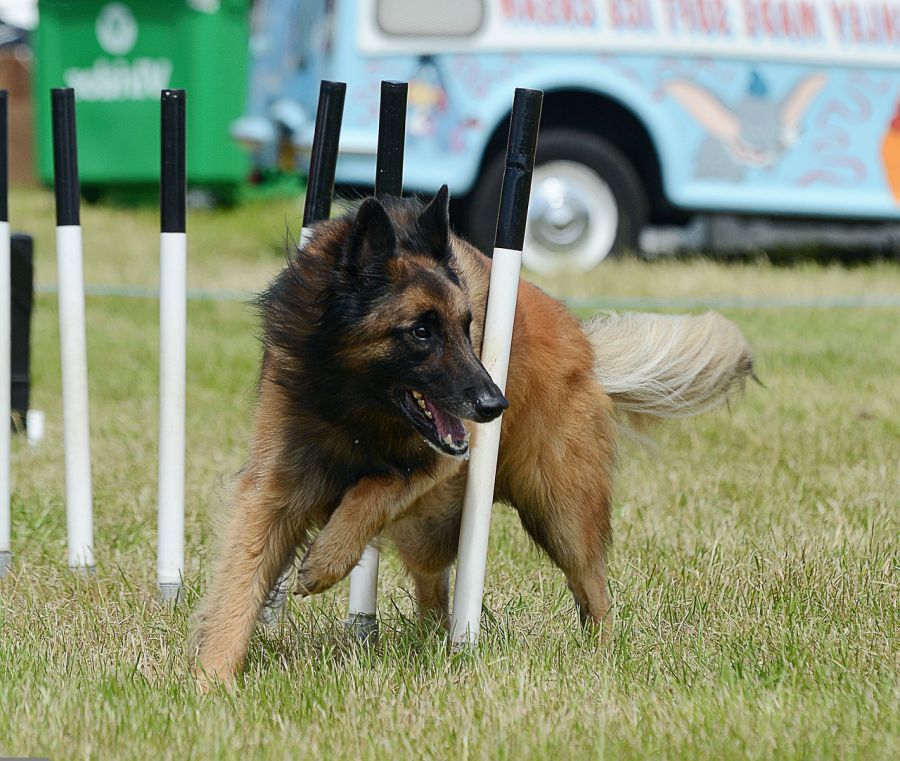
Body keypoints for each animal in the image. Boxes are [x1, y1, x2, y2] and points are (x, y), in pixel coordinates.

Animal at [190, 187, 752, 684]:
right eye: (420, 331)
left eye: (466, 327)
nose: (494, 406)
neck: (355, 403)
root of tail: (585, 346)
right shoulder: (273, 488)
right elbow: (240, 582)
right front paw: (211, 682)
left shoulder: (443, 458)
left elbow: (378, 485)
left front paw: (327, 559)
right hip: (430, 530)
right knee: (434, 595)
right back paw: (429, 642)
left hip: (561, 512)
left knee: (593, 590)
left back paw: (602, 658)